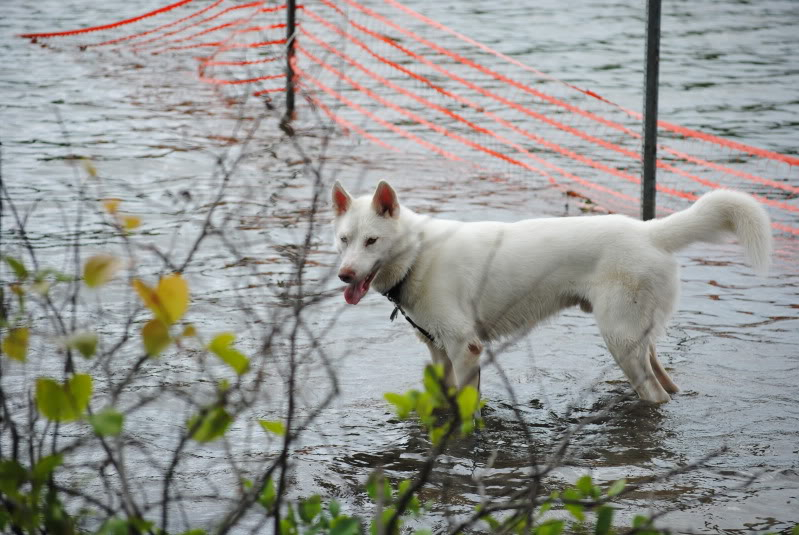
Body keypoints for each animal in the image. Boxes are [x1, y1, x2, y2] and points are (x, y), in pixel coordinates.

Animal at [330, 182, 768, 404]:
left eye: (371, 241)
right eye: (344, 239)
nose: (344, 275)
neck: (419, 254)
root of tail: (649, 231)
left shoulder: (465, 347)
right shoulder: (438, 350)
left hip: (620, 340)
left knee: (655, 395)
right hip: (636, 336)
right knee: (667, 382)